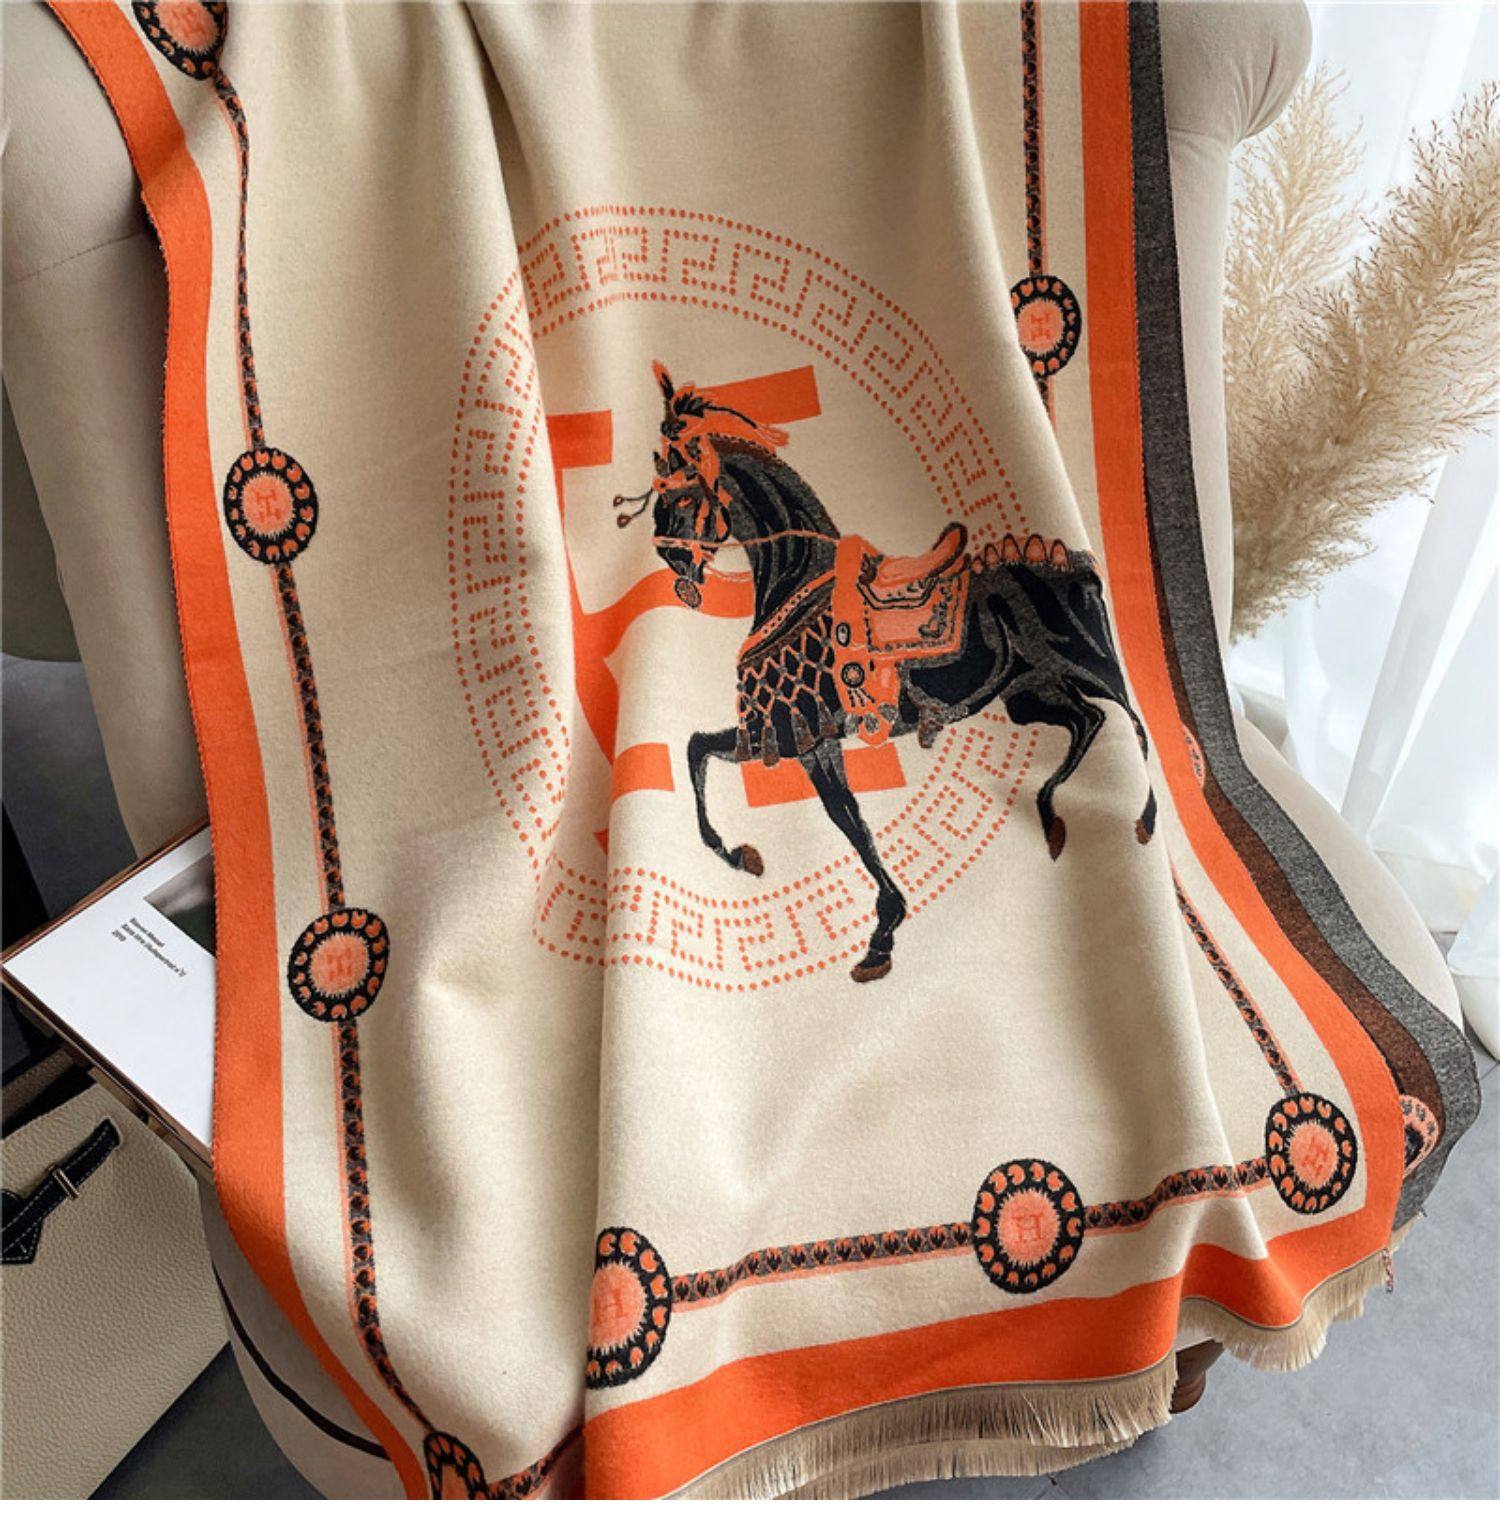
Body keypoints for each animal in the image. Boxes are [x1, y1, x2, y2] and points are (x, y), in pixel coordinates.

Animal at [614, 363, 1156, 983]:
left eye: (682, 483)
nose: (671, 559)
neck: (800, 581)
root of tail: (1078, 568)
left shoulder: (802, 737)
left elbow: (843, 819)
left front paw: (880, 937)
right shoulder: (798, 737)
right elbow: (704, 752)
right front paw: (745, 857)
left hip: (1092, 670)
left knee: (1133, 729)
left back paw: (1139, 823)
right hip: (1028, 695)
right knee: (1087, 721)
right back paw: (1050, 819)